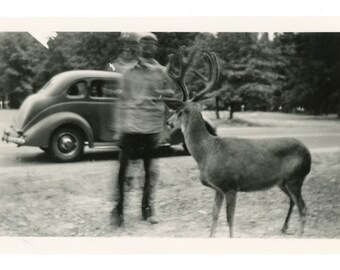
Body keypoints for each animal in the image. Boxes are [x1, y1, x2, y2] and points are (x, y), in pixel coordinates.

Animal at [163, 46, 312, 238]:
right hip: (283, 182)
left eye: (179, 111)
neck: (207, 152)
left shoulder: (230, 185)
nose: (168, 122)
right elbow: (214, 216)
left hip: (295, 178)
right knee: (294, 203)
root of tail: (308, 153)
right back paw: (284, 228)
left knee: (304, 208)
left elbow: (230, 220)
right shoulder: (218, 189)